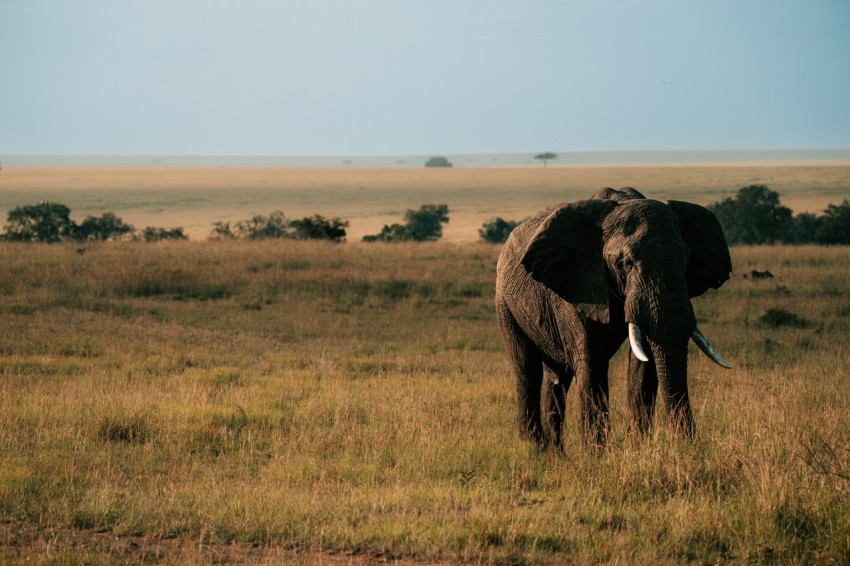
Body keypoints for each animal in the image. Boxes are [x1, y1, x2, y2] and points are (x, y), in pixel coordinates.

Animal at [494, 187, 732, 452]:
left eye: (686, 260)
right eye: (624, 263)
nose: (687, 444)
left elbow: (644, 364)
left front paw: (636, 449)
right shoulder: (579, 285)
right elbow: (592, 361)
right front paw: (596, 456)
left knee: (557, 378)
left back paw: (556, 455)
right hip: (505, 302)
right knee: (527, 369)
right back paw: (535, 450)